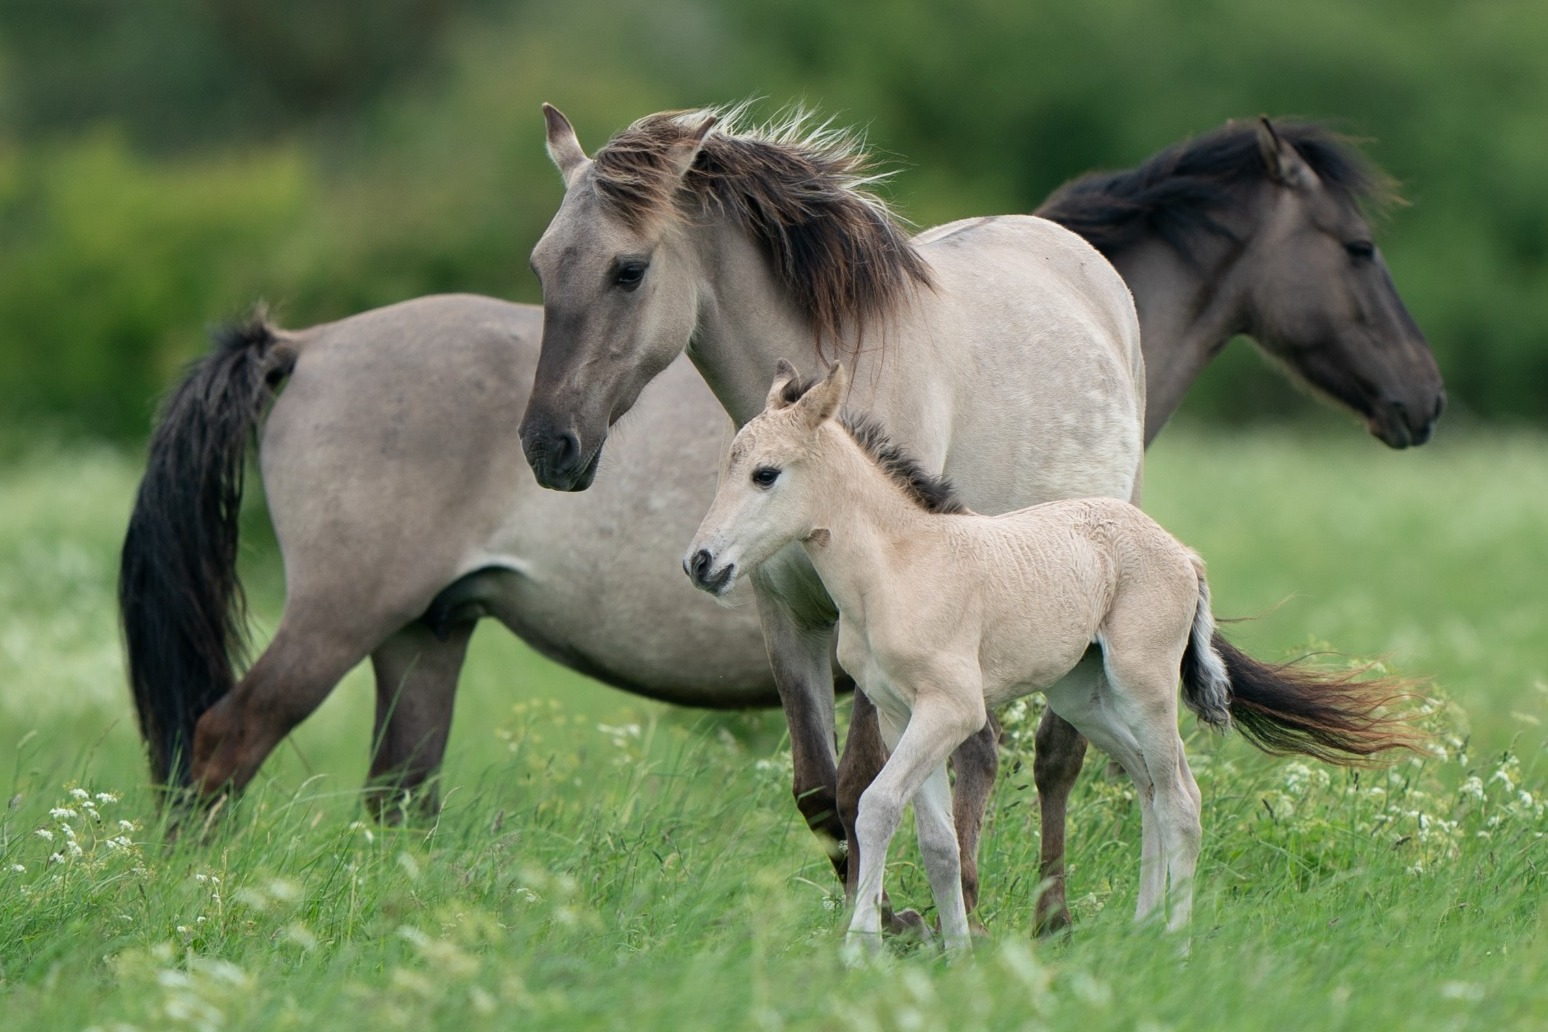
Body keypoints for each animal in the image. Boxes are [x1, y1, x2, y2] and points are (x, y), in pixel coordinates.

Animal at [120, 111, 1436, 934]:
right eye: (1360, 247)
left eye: (627, 269)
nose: (1421, 399)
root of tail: (298, 347)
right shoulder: (821, 630)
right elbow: (887, 786)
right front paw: (954, 920)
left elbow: (878, 787)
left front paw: (941, 918)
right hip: (346, 619)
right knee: (222, 747)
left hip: (425, 638)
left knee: (395, 794)